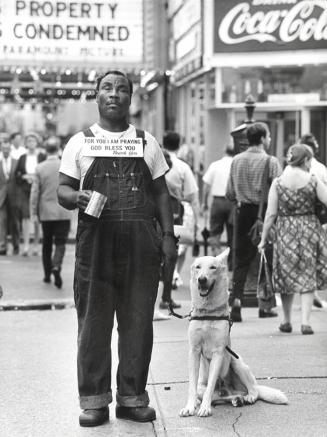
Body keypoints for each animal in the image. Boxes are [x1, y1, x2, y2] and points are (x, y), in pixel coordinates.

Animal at [179, 249, 290, 416]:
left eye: (213, 267)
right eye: (198, 267)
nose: (202, 279)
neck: (208, 313)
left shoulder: (219, 353)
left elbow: (210, 386)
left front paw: (204, 408)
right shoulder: (194, 351)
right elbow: (192, 386)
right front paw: (190, 407)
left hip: (236, 362)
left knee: (252, 390)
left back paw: (247, 398)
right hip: (206, 386)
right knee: (219, 396)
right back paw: (235, 399)